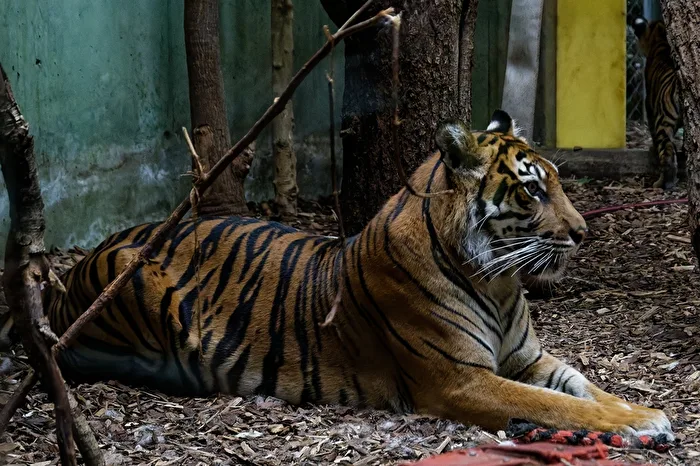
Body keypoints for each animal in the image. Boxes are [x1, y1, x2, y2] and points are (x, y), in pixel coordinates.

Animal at [9, 110, 672, 438]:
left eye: (558, 180)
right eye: (533, 190)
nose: (583, 233)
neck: (499, 281)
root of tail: (84, 261)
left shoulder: (528, 358)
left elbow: (582, 385)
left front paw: (643, 414)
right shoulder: (460, 378)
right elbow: (555, 405)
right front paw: (636, 424)